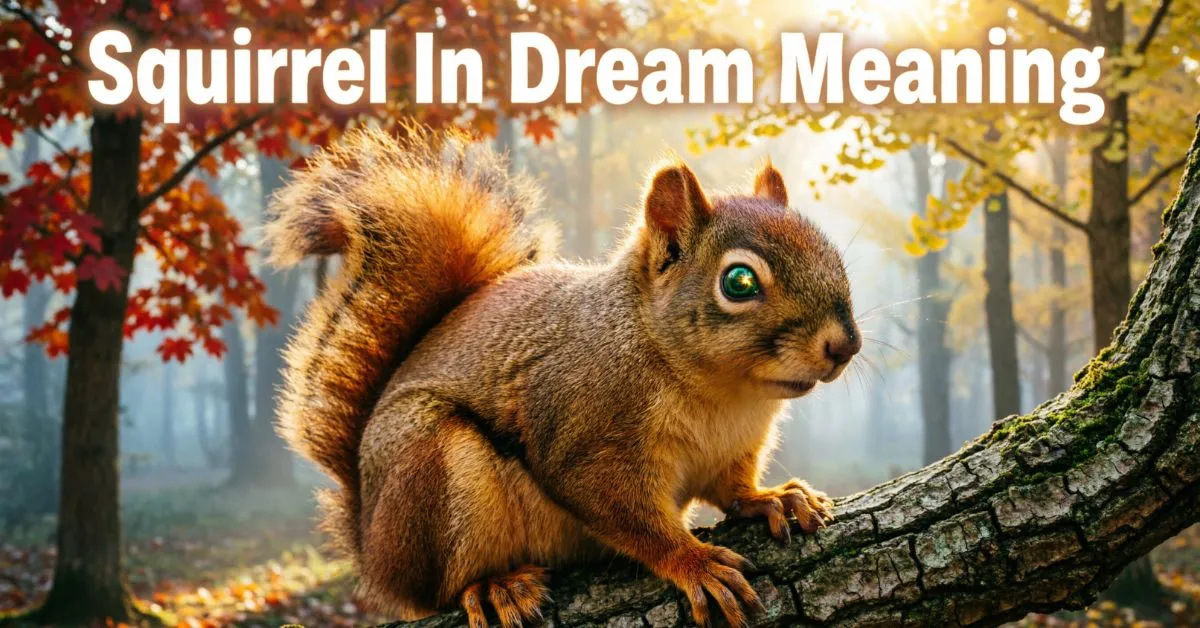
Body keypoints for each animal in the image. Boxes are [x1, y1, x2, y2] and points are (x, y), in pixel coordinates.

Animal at [265, 126, 861, 628]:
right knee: (442, 586)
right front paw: (693, 561)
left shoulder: (733, 448)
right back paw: (492, 587)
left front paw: (774, 498)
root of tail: (371, 545)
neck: (723, 393)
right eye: (738, 282)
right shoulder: (586, 435)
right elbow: (627, 515)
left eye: (832, 253)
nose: (845, 346)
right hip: (434, 469)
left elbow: (732, 488)